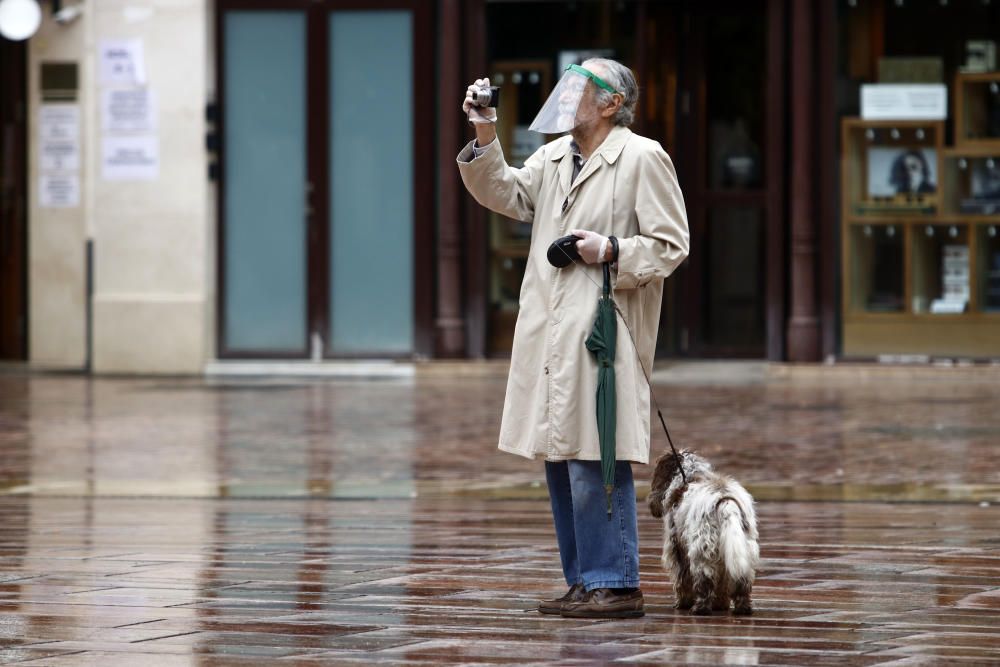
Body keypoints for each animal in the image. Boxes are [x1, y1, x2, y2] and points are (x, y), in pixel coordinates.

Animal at [648, 448, 756, 616]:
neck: (688, 477)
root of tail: (725, 500)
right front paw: (720, 604)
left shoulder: (678, 549)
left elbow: (683, 580)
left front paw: (683, 603)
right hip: (742, 550)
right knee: (741, 583)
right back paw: (742, 608)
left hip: (702, 550)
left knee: (704, 581)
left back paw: (700, 608)